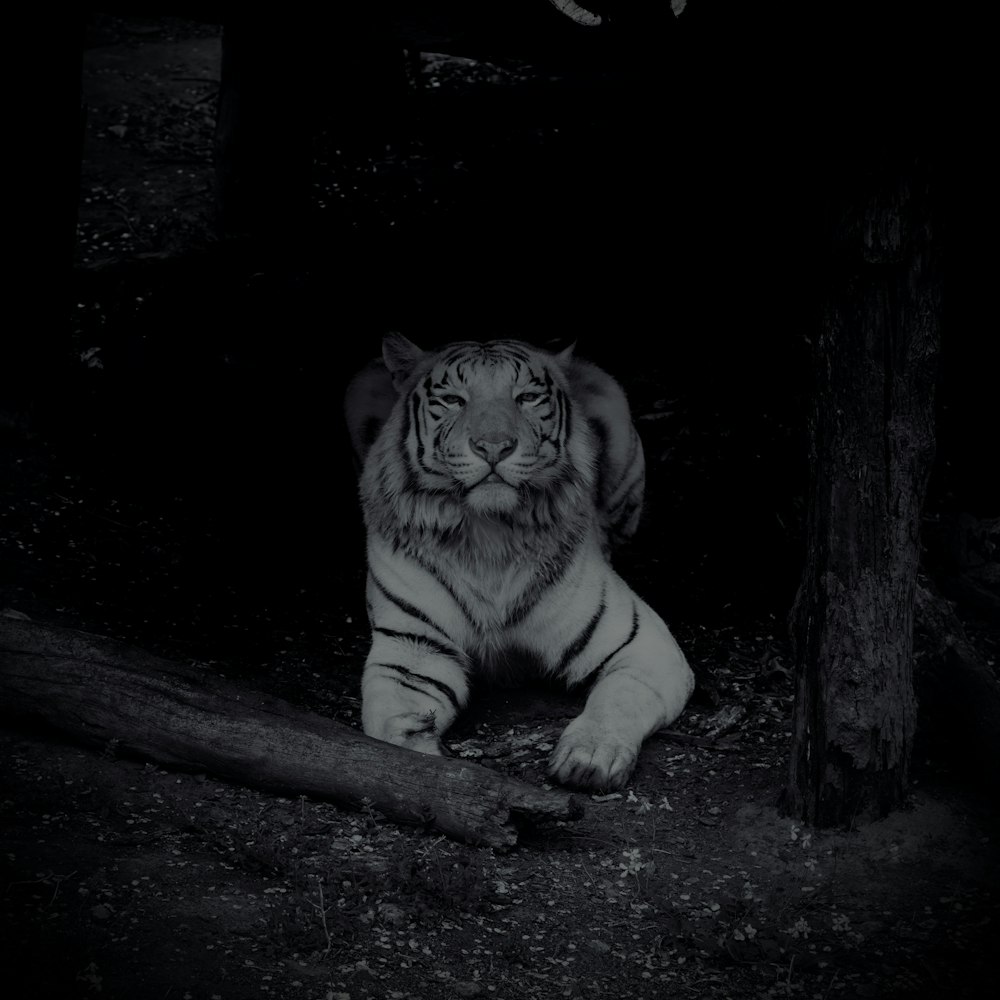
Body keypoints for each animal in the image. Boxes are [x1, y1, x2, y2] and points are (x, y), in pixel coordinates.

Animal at [340, 334, 692, 788]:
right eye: (452, 400)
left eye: (526, 397)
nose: (494, 447)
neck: (489, 533)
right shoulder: (412, 647)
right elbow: (387, 719)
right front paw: (416, 753)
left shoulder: (641, 642)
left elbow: (622, 696)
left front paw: (591, 755)